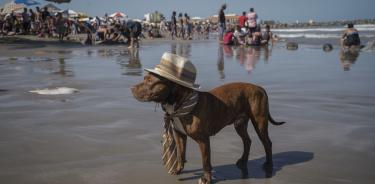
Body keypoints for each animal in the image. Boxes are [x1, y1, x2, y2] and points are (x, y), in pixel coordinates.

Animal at [131, 72, 284, 184]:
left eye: (149, 81)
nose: (131, 88)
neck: (180, 103)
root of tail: (259, 88)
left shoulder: (203, 140)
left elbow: (206, 161)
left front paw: (207, 179)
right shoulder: (180, 135)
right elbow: (180, 154)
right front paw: (178, 170)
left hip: (259, 123)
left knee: (267, 143)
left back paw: (268, 165)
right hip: (239, 124)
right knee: (247, 141)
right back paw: (243, 161)